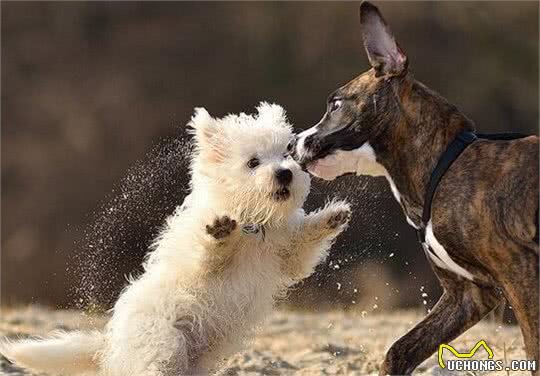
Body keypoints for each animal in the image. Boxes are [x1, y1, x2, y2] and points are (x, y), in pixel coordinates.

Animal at [2, 103, 350, 376]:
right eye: (253, 162)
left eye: (287, 154)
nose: (285, 173)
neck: (253, 223)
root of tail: (111, 347)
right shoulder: (200, 265)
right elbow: (209, 256)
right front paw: (220, 233)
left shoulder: (287, 256)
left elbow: (304, 242)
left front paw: (333, 216)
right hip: (163, 340)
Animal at [296, 1, 540, 374]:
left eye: (336, 104)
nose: (292, 143)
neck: (445, 165)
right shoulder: (467, 296)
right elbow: (399, 350)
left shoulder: (522, 274)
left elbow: (535, 350)